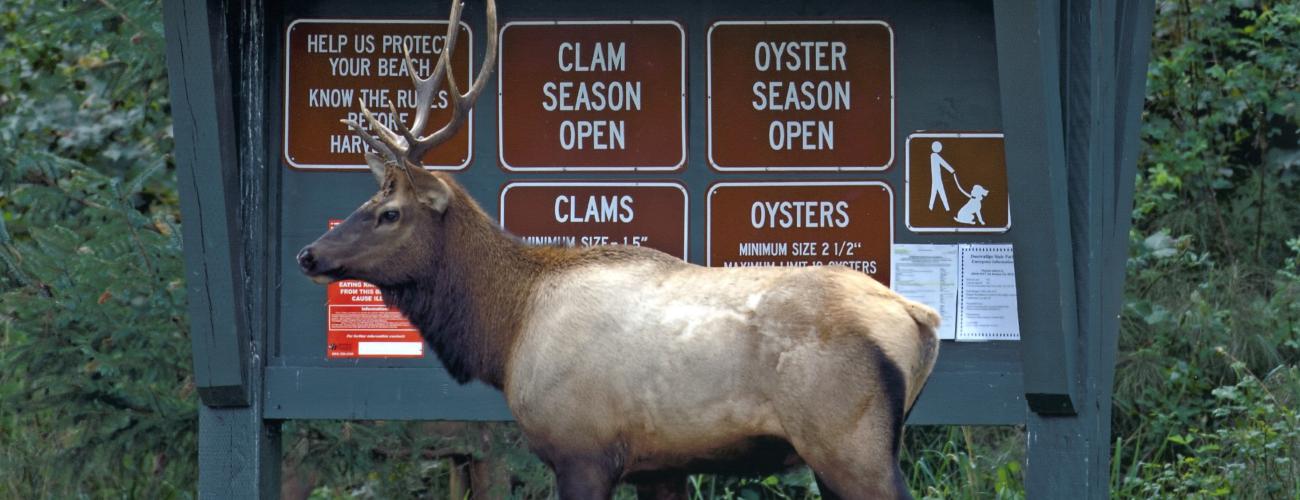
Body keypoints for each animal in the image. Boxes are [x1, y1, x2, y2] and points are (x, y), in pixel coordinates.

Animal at [297, 1, 941, 496]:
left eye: (389, 212)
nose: (309, 254)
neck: (506, 334)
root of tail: (919, 317)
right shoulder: (661, 466)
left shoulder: (580, 448)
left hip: (848, 443)